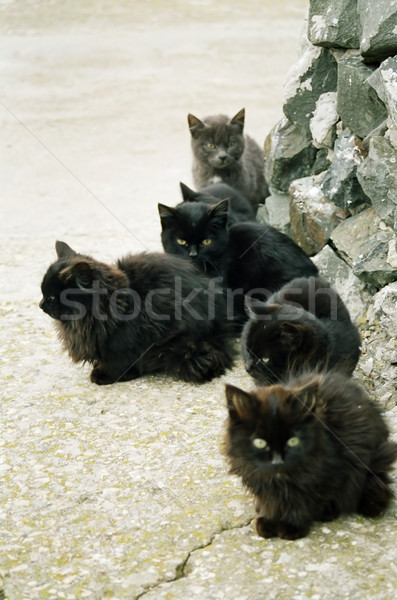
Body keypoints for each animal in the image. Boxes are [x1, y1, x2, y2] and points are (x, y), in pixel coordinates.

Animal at [40, 240, 237, 384]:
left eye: (52, 297)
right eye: (43, 293)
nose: (40, 305)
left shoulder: (126, 342)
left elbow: (119, 363)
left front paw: (104, 375)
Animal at [224, 372, 396, 540]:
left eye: (293, 441)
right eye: (260, 442)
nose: (277, 460)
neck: (279, 479)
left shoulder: (330, 472)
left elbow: (303, 500)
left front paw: (291, 526)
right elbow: (269, 499)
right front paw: (268, 519)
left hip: (376, 461)